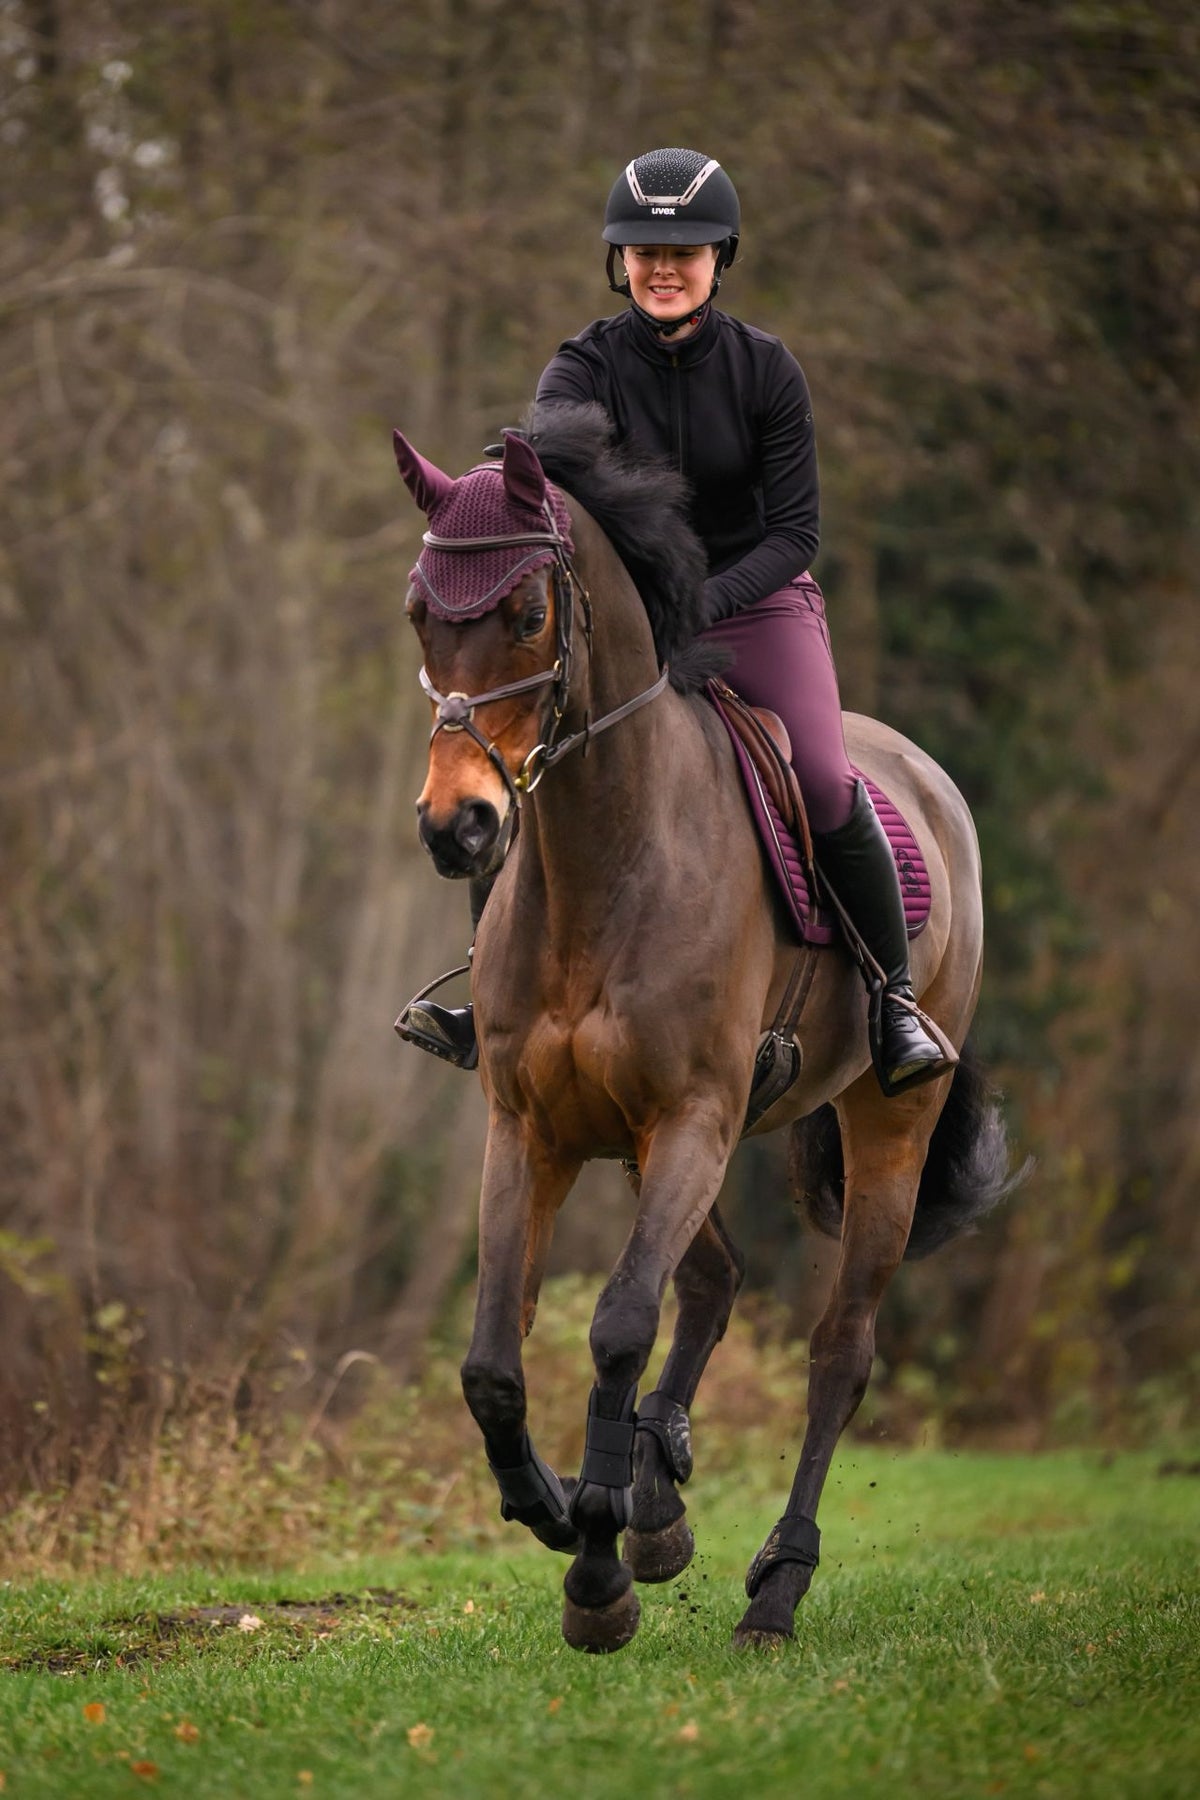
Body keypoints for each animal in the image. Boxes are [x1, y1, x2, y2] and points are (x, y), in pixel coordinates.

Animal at [393, 401, 1015, 1652]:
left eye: (528, 612)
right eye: (420, 612)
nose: (459, 826)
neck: (605, 854)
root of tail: (924, 778)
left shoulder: (691, 1117)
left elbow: (618, 1326)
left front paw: (595, 1572)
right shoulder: (530, 1128)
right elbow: (493, 1356)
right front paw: (560, 1505)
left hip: (882, 1126)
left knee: (839, 1350)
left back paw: (773, 1586)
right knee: (716, 1282)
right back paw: (658, 1497)